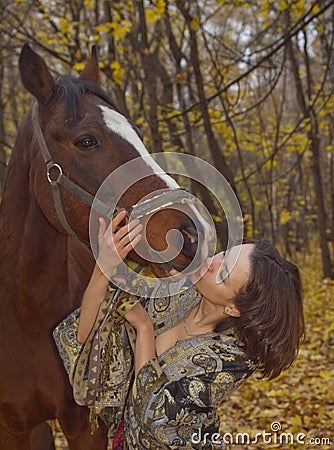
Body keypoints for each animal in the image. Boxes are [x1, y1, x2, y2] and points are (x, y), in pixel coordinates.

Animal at [0, 44, 207, 450]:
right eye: (86, 140)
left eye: (137, 134)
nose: (191, 233)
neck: (26, 312)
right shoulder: (12, 426)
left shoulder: (85, 424)